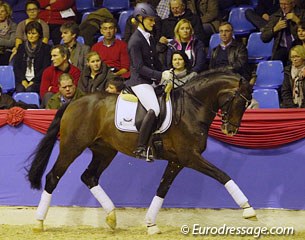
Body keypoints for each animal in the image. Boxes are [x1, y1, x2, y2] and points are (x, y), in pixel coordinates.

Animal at [26, 69, 255, 234]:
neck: (191, 108)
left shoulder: (177, 161)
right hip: (72, 147)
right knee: (53, 177)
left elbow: (162, 189)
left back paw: (111, 217)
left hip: (105, 151)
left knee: (89, 177)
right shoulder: (190, 157)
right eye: (240, 101)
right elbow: (222, 175)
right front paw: (248, 210)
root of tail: (74, 102)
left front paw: (151, 224)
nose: (231, 130)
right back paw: (38, 223)